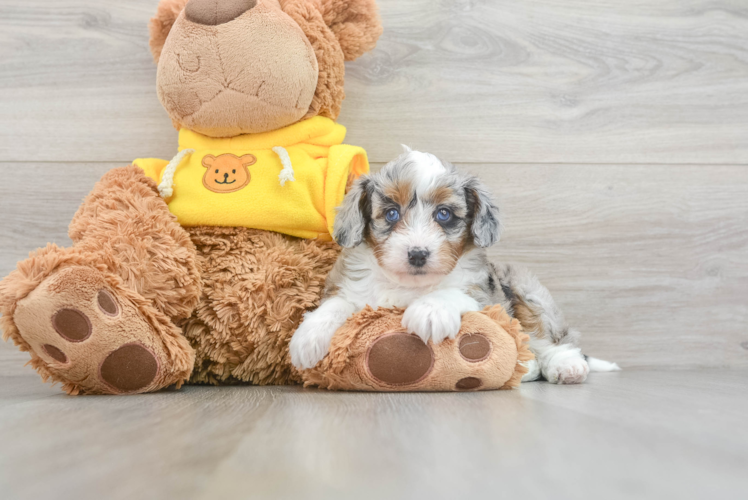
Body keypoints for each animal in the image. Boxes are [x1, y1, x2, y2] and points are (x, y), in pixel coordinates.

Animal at [290, 148, 616, 382]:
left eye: (444, 214)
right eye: (392, 213)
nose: (417, 254)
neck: (409, 285)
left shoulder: (487, 295)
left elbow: (456, 292)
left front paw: (429, 311)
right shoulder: (352, 288)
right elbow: (338, 303)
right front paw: (308, 337)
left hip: (526, 289)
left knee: (548, 338)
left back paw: (565, 365)